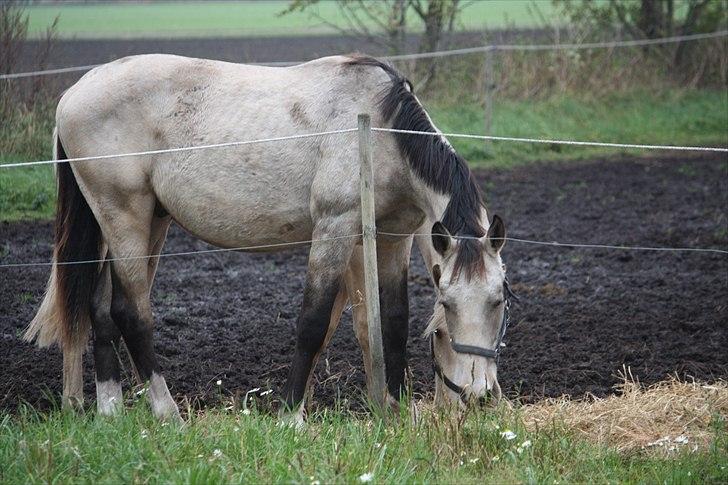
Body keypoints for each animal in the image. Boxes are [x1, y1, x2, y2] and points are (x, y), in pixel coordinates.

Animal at [25, 54, 510, 424]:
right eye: (447, 306)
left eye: (499, 301)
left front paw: (396, 411)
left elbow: (391, 322)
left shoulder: (392, 239)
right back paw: (167, 414)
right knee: (130, 312)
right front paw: (292, 416)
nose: (479, 394)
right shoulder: (335, 230)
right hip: (124, 218)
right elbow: (313, 323)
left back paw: (110, 409)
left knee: (100, 307)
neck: (382, 130)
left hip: (140, 223)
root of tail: (74, 93)